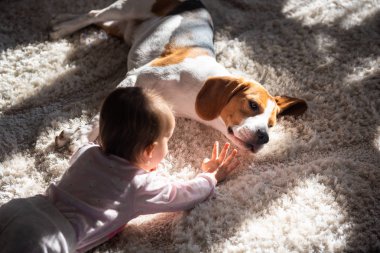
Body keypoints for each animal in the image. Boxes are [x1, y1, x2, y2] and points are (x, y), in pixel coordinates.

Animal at [51, 0, 306, 152]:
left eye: (271, 125)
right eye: (252, 105)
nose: (264, 137)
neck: (196, 92)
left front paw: (72, 134)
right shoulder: (134, 77)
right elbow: (99, 118)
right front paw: (81, 137)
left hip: (120, 29)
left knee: (100, 20)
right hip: (128, 7)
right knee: (93, 13)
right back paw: (62, 28)